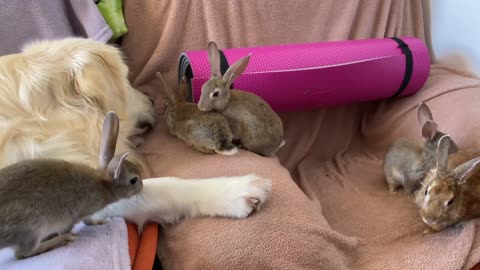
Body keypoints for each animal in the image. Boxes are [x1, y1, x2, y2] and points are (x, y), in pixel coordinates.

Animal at [0, 112, 142, 260]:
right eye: (134, 180)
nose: (142, 186)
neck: (103, 184)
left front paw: (100, 222)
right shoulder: (76, 216)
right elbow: (84, 222)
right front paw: (99, 223)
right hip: (33, 227)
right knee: (22, 253)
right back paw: (62, 240)